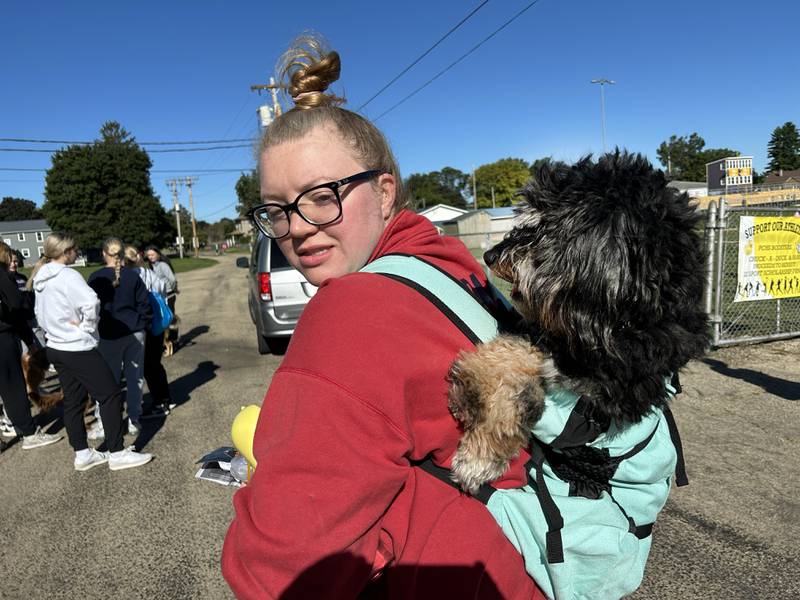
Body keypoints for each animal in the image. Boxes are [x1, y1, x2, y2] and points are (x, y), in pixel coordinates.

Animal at [450, 150, 708, 492]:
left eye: (543, 227)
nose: (490, 255)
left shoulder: (614, 389)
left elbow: (527, 390)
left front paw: (480, 458)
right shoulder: (543, 335)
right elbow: (513, 355)